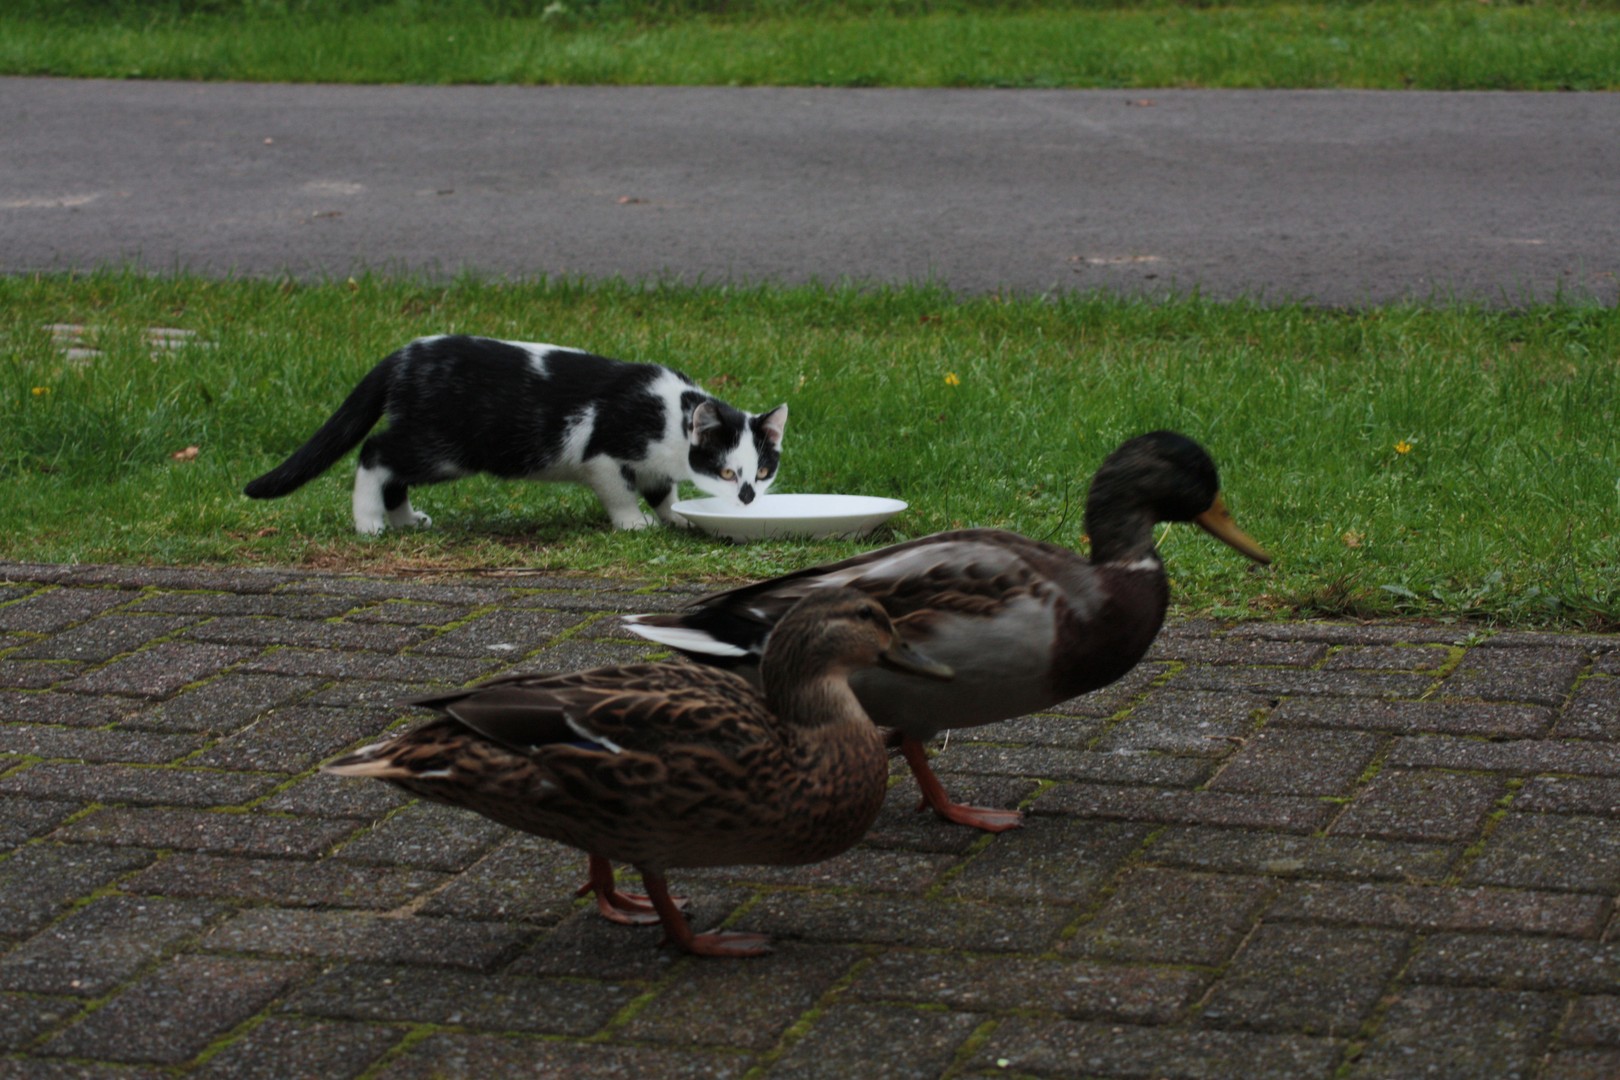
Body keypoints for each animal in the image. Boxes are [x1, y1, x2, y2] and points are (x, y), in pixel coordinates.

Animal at [241, 331, 790, 531]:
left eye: (762, 471)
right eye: (726, 472)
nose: (746, 497)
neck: (670, 415)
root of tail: (406, 353)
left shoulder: (653, 462)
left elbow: (660, 489)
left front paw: (675, 515)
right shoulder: (604, 454)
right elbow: (620, 491)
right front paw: (634, 522)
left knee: (393, 469)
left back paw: (405, 519)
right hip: (446, 445)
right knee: (376, 452)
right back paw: (369, 522)